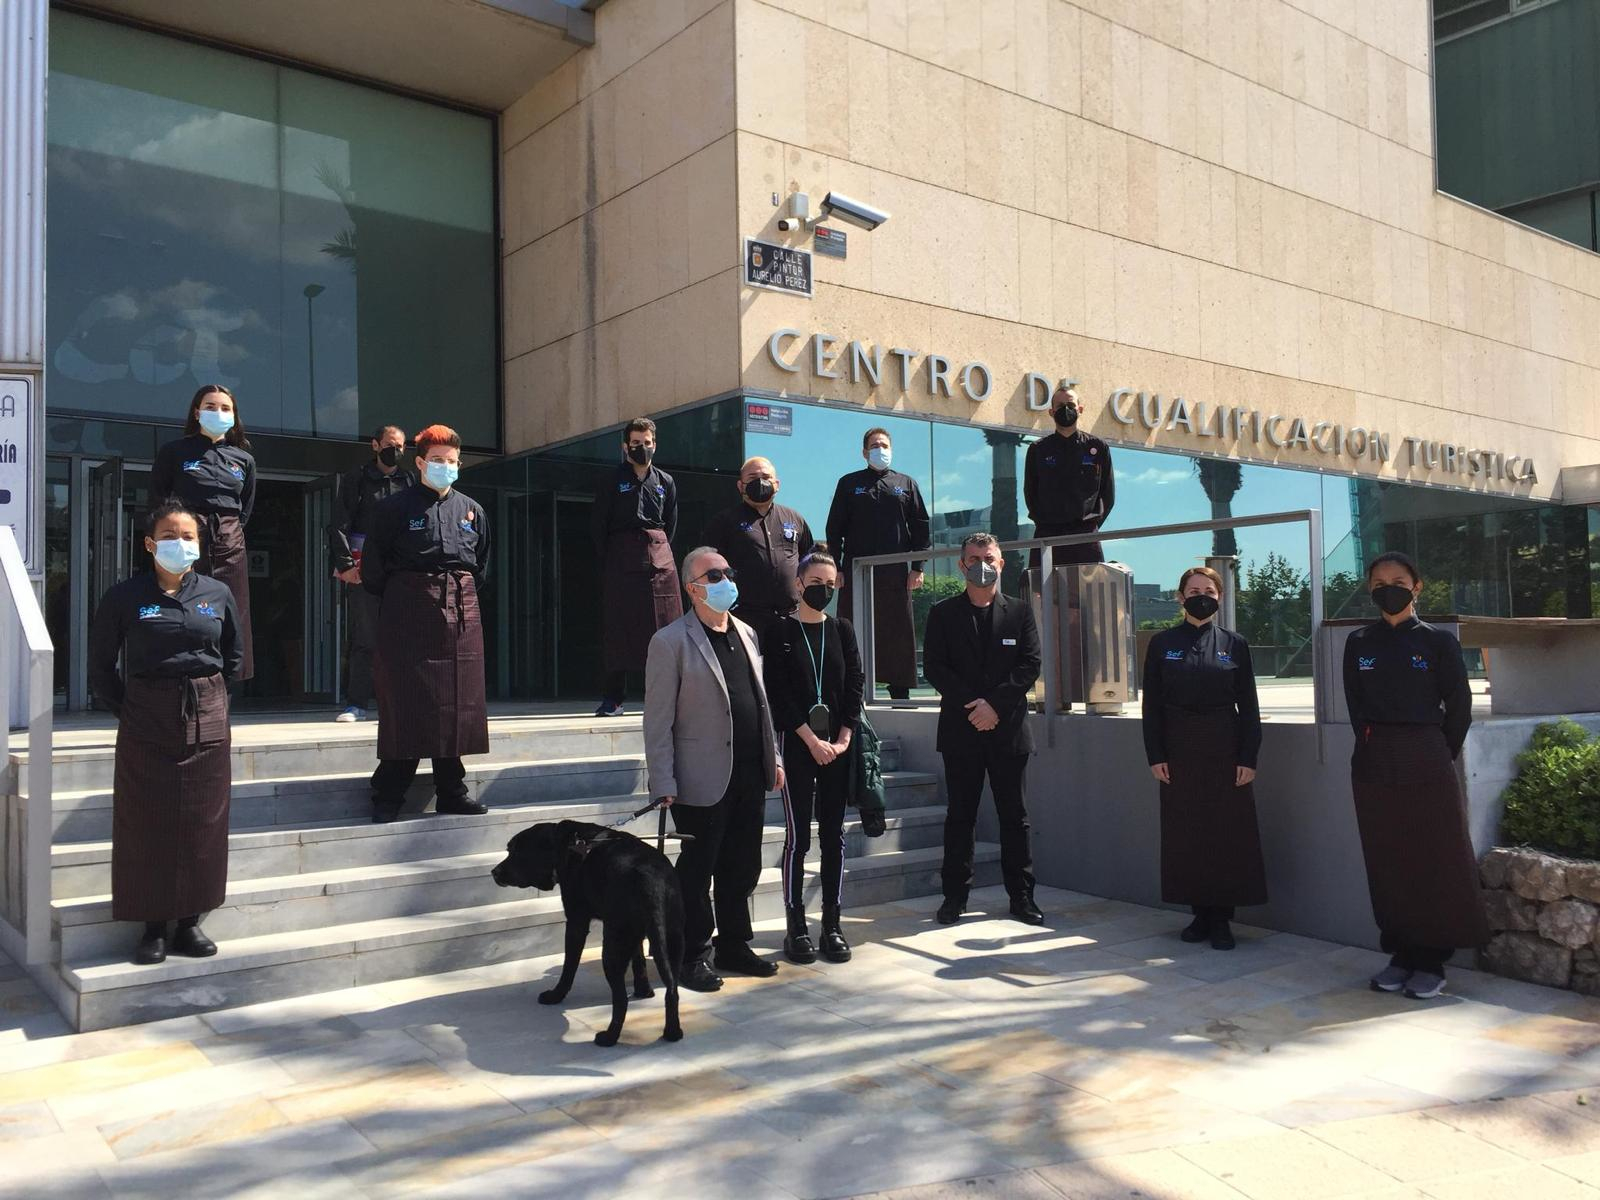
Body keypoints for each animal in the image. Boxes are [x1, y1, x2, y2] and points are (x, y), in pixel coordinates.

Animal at [489, 825, 684, 1049]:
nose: (494, 872)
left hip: (613, 946)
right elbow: (639, 958)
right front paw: (644, 990)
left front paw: (555, 995)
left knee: (620, 999)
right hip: (673, 941)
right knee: (672, 990)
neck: (568, 846)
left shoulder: (576, 921)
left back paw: (608, 1037)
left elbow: (569, 967)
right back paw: (672, 1032)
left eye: (516, 850)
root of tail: (651, 882)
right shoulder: (636, 932)